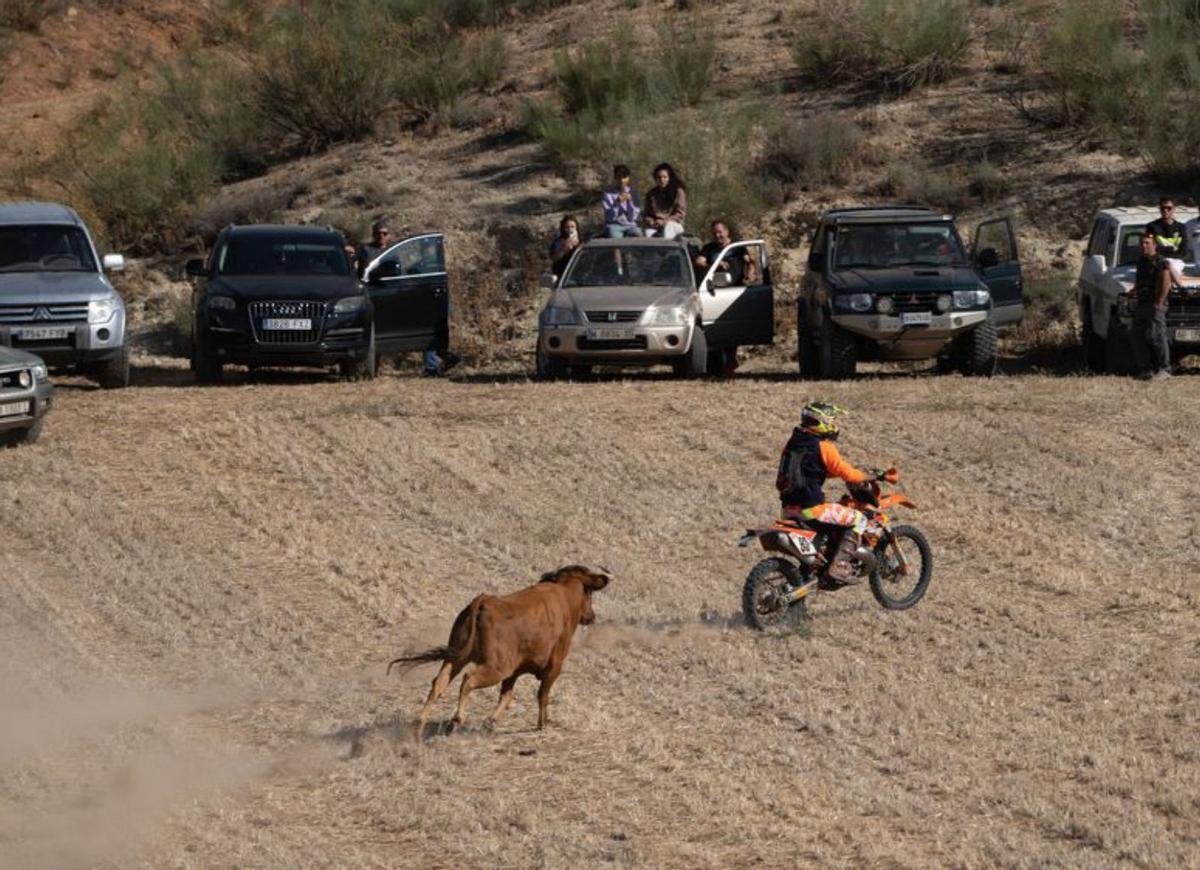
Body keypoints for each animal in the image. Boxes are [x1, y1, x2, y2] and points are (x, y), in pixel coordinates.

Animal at [386, 564, 609, 739]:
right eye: (589, 593)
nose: (591, 616)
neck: (564, 595)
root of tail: (483, 601)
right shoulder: (554, 666)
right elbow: (542, 695)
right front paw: (542, 724)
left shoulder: (515, 671)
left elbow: (507, 696)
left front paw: (490, 722)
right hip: (496, 667)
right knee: (468, 680)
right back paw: (456, 719)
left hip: (458, 657)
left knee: (440, 682)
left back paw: (419, 724)